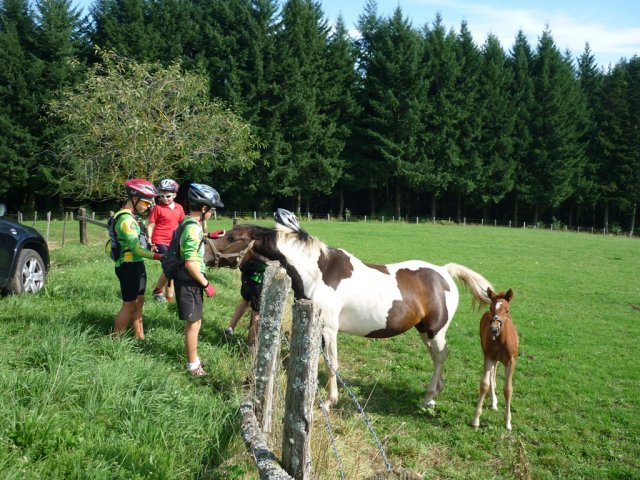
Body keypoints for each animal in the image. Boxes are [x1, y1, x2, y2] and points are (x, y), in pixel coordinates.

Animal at [210, 223, 496, 410]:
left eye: (233, 237)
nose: (207, 251)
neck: (318, 272)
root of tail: (444, 272)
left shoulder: (329, 329)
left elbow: (332, 364)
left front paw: (329, 401)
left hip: (435, 331)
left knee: (441, 356)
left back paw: (428, 397)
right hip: (425, 331)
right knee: (438, 357)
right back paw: (435, 394)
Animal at [472, 286, 516, 430]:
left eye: (506, 310)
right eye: (491, 307)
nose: (494, 329)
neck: (500, 341)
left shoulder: (511, 361)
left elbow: (508, 389)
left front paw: (508, 422)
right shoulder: (489, 357)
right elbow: (484, 384)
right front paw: (476, 420)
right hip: (489, 356)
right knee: (491, 374)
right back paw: (493, 401)